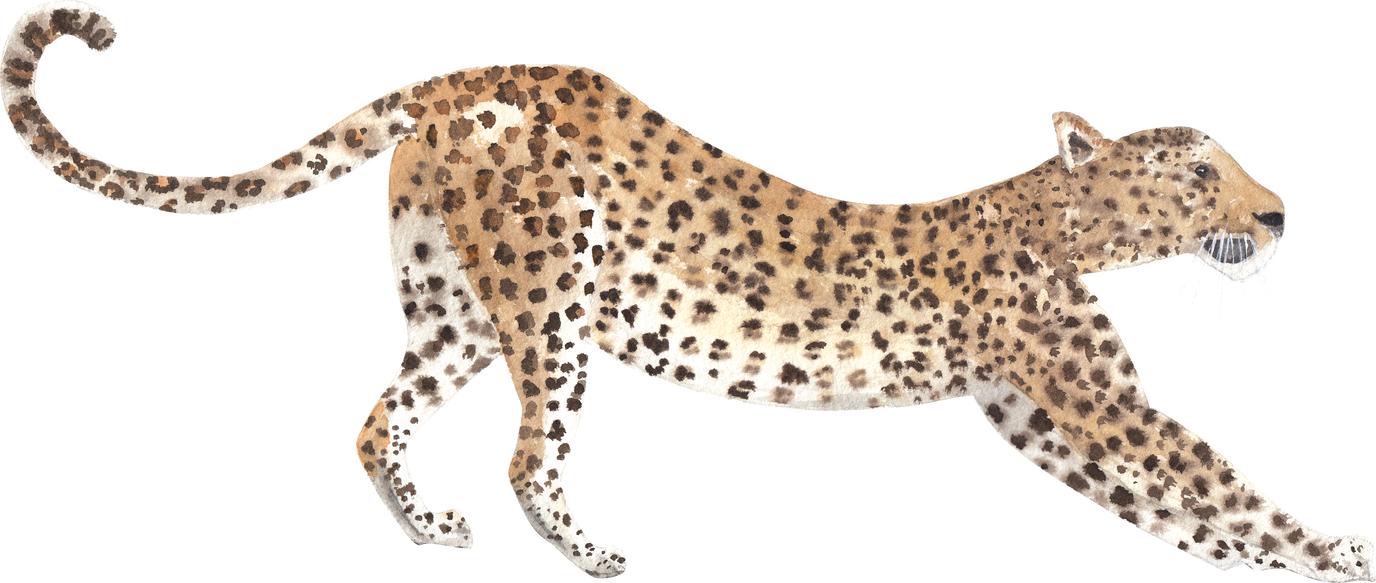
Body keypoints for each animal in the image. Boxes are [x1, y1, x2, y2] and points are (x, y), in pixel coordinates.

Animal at [4, 1, 1370, 581]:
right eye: (1197, 169)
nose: (1277, 213)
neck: (1060, 220)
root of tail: (454, 79)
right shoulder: (1084, 398)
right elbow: (1205, 466)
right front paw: (1329, 550)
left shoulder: (1046, 412)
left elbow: (1171, 495)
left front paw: (1265, 560)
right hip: (549, 307)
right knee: (526, 453)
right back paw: (589, 555)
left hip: (452, 306)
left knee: (376, 419)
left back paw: (431, 530)